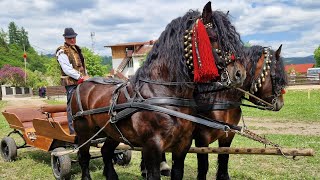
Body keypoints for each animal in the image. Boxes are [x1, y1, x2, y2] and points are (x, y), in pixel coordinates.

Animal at [72, 2, 245, 180]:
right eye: (213, 38)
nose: (239, 74)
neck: (163, 92)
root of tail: (82, 85)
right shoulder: (152, 146)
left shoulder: (183, 144)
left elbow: (178, 172)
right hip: (84, 132)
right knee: (84, 156)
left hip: (111, 132)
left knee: (106, 151)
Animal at [194, 44, 288, 179]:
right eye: (276, 77)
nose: (280, 103)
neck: (219, 98)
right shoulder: (201, 138)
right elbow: (203, 167)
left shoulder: (228, 135)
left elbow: (224, 160)